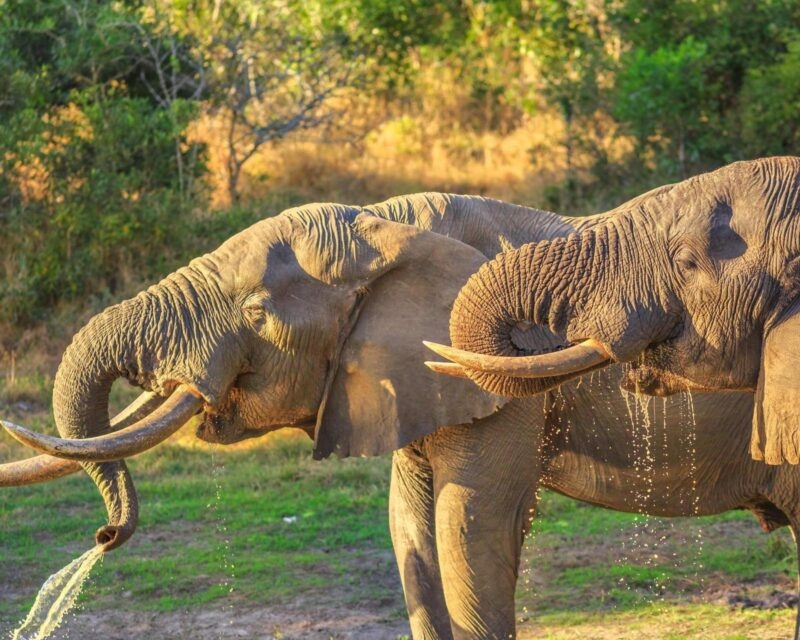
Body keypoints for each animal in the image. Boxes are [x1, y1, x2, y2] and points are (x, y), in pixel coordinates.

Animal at [3, 187, 800, 640]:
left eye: (256, 313)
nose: (105, 535)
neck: (382, 226)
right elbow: (410, 528)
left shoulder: (498, 376)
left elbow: (468, 526)